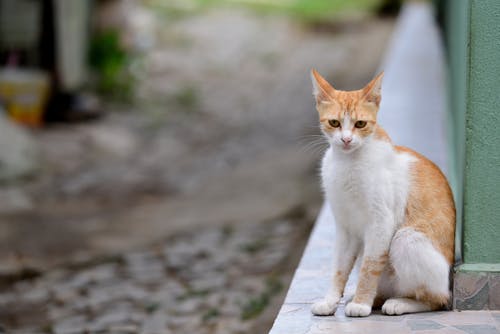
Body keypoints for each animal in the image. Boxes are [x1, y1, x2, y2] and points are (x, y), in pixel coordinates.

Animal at [312, 69, 458, 318]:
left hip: (406, 238)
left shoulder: (381, 221)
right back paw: (375, 298)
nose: (346, 139)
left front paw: (361, 304)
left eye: (360, 124)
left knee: (437, 299)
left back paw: (399, 303)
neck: (347, 163)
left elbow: (370, 267)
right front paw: (330, 301)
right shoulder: (345, 227)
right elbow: (339, 269)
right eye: (334, 122)